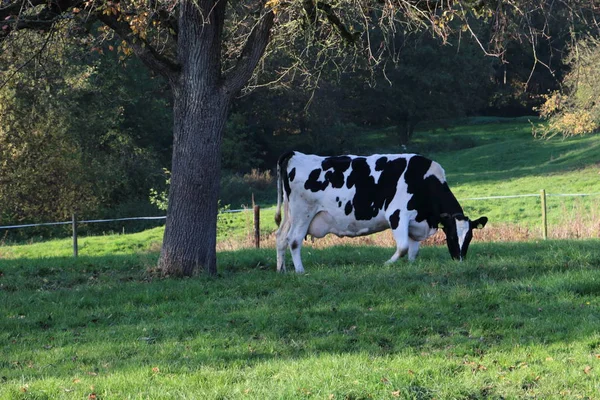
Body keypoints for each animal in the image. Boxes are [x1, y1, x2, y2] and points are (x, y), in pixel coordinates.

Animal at [276, 152, 488, 274]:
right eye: (451, 237)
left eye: (469, 238)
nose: (459, 260)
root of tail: (295, 154)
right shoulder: (397, 215)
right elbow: (402, 247)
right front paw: (387, 264)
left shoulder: (416, 223)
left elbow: (413, 251)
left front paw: (411, 267)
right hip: (303, 212)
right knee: (293, 240)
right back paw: (300, 271)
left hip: (290, 214)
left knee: (280, 237)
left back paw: (281, 269)